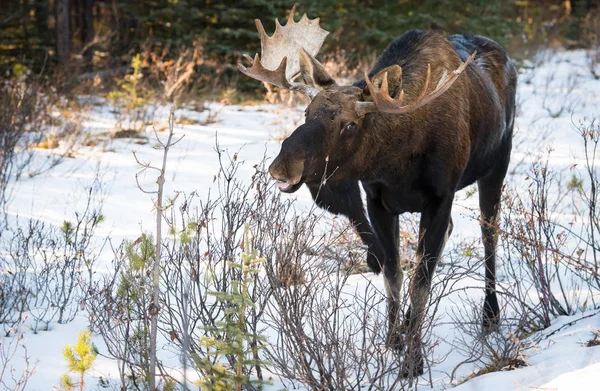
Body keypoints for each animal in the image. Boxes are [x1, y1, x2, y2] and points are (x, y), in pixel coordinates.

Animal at [238, 3, 516, 376]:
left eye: (350, 125)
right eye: (307, 111)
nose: (283, 165)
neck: (397, 161)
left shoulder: (440, 196)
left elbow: (421, 281)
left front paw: (413, 362)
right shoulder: (376, 201)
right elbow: (394, 273)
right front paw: (393, 341)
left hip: (497, 165)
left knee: (489, 235)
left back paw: (490, 316)